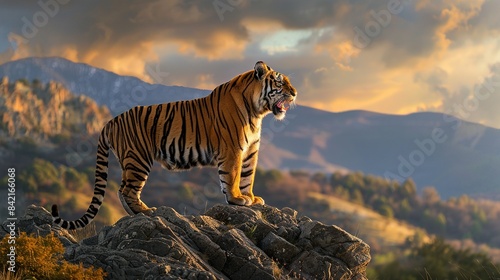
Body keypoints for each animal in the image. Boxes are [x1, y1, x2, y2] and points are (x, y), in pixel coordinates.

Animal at [51, 61, 296, 230]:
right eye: (280, 82)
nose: (295, 93)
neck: (257, 112)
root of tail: (112, 120)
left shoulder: (251, 151)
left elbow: (248, 176)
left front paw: (252, 198)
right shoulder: (233, 150)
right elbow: (233, 177)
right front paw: (237, 198)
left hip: (131, 161)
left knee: (121, 189)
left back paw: (137, 213)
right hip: (138, 158)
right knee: (127, 190)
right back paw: (146, 211)